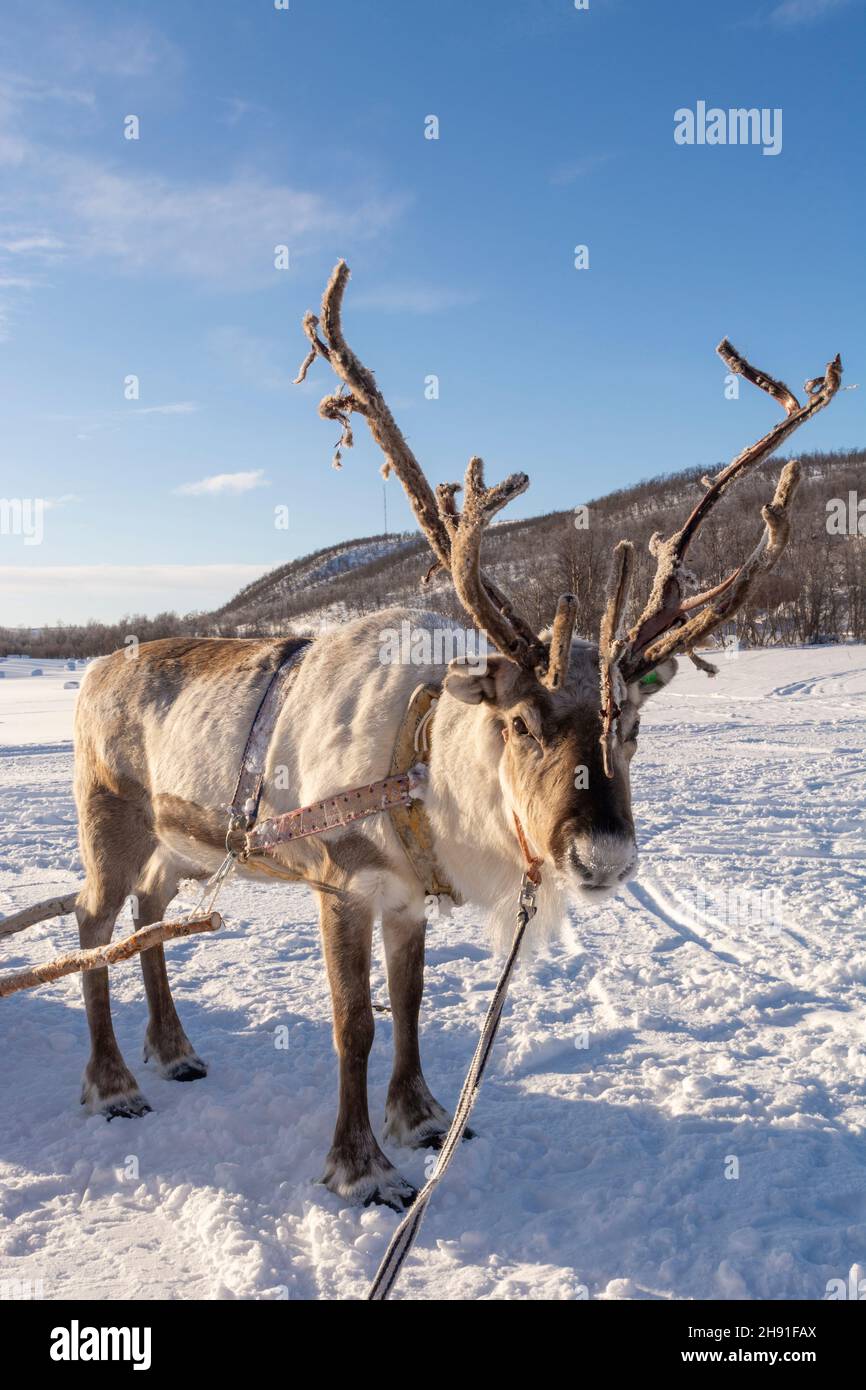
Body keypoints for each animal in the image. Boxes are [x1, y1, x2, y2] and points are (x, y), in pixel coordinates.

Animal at [71, 261, 842, 1210]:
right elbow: (354, 1026)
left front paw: (426, 1118)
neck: (419, 754)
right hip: (108, 825)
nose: (604, 857)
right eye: (519, 722)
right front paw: (361, 1168)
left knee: (149, 918)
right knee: (92, 923)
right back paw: (113, 1084)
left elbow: (411, 1007)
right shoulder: (341, 885)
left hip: (176, 847)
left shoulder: (407, 899)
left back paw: (173, 1051)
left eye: (633, 727)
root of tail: (93, 671)